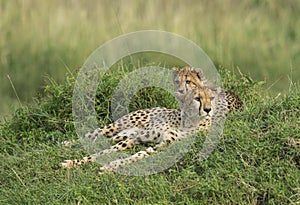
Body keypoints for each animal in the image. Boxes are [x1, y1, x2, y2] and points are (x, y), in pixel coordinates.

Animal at [61, 67, 241, 173]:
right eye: (197, 98)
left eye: (211, 98)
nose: (208, 110)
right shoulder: (138, 138)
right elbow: (101, 153)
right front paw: (73, 162)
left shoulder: (164, 144)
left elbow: (140, 154)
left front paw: (110, 166)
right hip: (119, 126)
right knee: (93, 134)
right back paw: (65, 144)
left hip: (124, 133)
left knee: (102, 139)